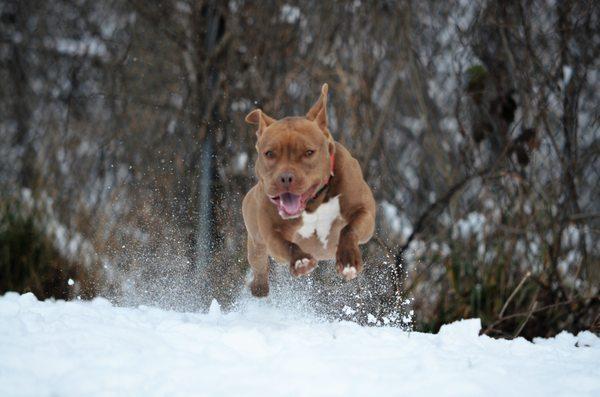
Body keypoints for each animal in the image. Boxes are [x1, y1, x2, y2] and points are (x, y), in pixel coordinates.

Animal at [240, 83, 376, 296]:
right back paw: (259, 288)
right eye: (269, 153)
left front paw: (348, 260)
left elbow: (349, 228)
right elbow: (287, 244)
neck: (314, 202)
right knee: (259, 264)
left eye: (309, 152)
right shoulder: (272, 233)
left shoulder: (364, 212)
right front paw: (301, 261)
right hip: (256, 243)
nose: (285, 178)